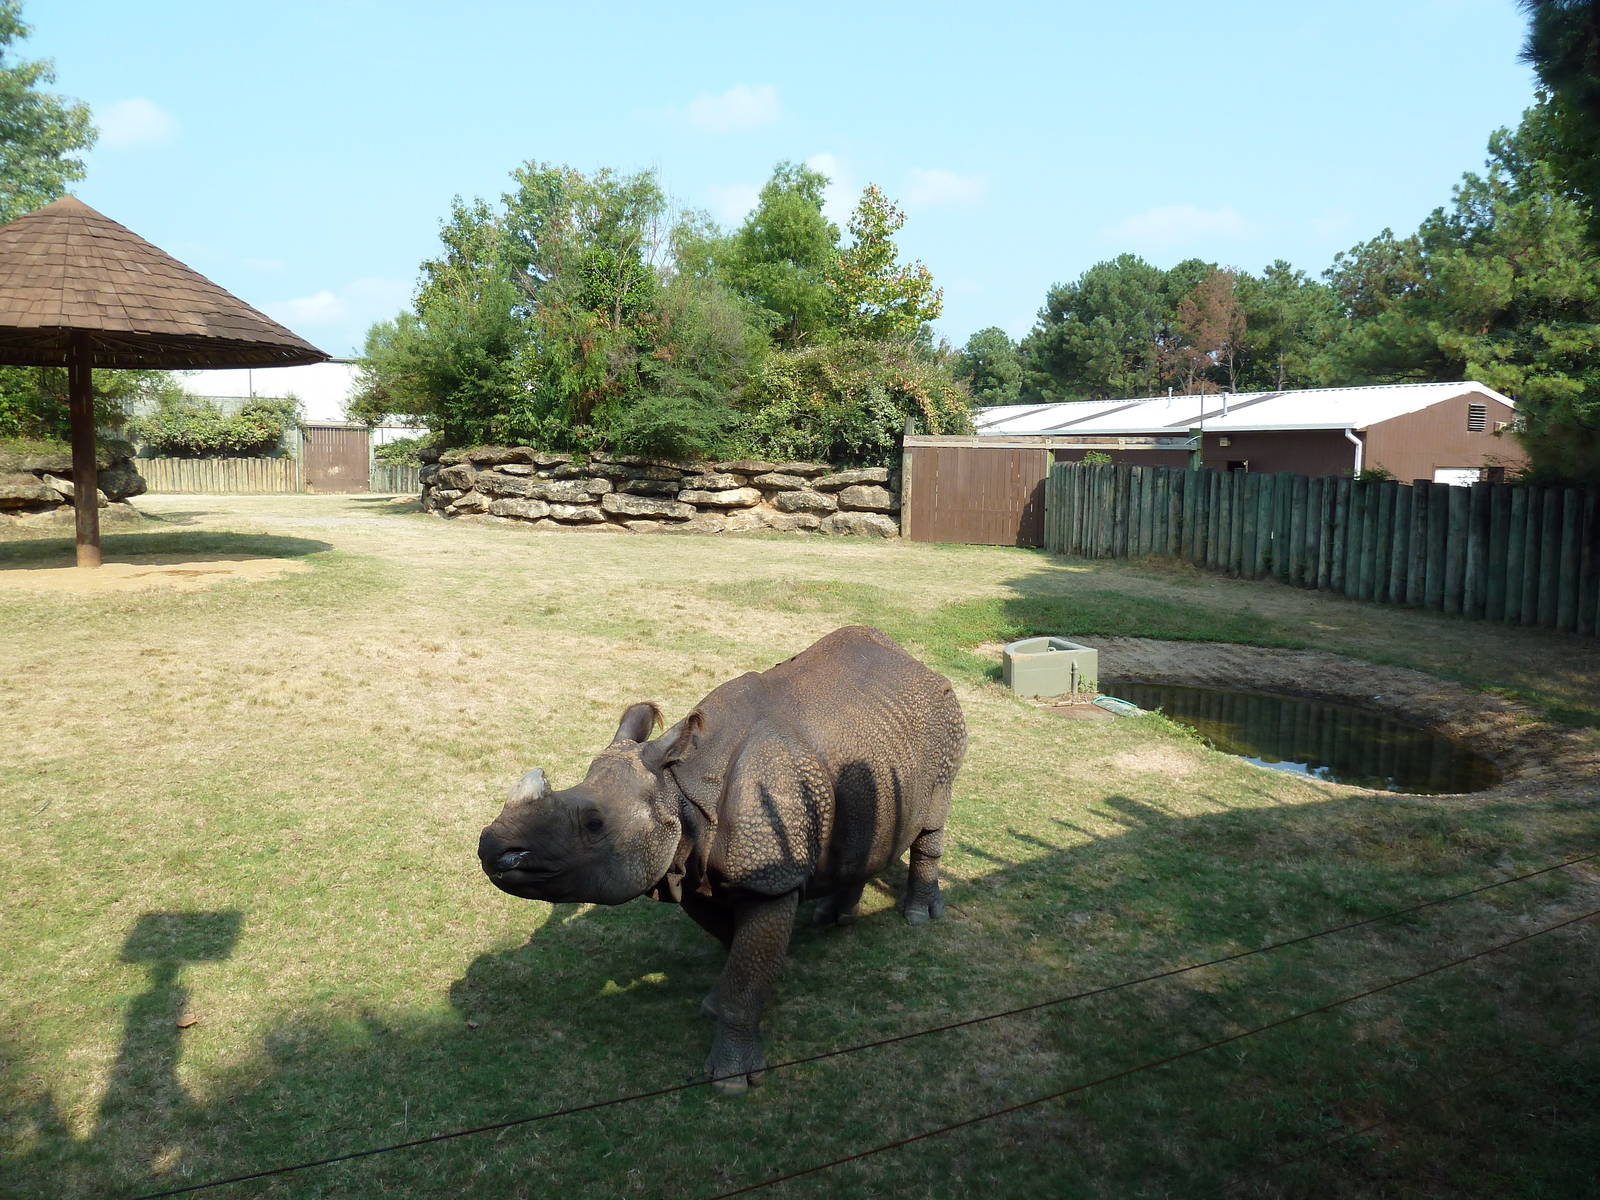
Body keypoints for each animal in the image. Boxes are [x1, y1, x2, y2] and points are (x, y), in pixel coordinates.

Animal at [477, 625, 966, 1093]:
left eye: (595, 824)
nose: (490, 848)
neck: (679, 792)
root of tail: (914, 661)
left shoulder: (770, 880)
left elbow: (745, 974)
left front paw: (732, 1079)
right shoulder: (687, 870)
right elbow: (732, 946)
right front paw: (724, 1000)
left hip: (943, 723)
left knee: (933, 816)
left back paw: (917, 917)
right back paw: (834, 918)